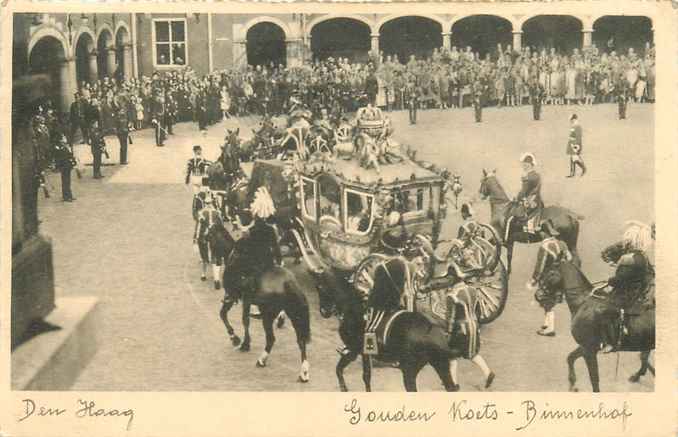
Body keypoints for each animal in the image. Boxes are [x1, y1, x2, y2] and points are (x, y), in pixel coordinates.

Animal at [218, 235, 314, 382]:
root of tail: (288, 282)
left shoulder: (241, 298)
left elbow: (236, 318)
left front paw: (239, 340)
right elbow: (230, 316)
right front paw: (239, 339)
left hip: (268, 315)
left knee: (271, 338)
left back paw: (261, 360)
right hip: (294, 315)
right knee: (301, 341)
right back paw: (304, 372)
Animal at [330, 258, 486, 390]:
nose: (325, 311)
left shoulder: (356, 350)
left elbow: (361, 375)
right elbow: (350, 371)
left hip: (410, 370)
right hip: (437, 363)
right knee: (451, 386)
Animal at [548, 258, 656, 392]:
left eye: (550, 273)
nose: (539, 294)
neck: (582, 303)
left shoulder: (589, 350)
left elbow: (594, 379)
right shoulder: (585, 347)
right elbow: (570, 358)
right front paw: (572, 384)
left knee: (644, 357)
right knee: (644, 357)